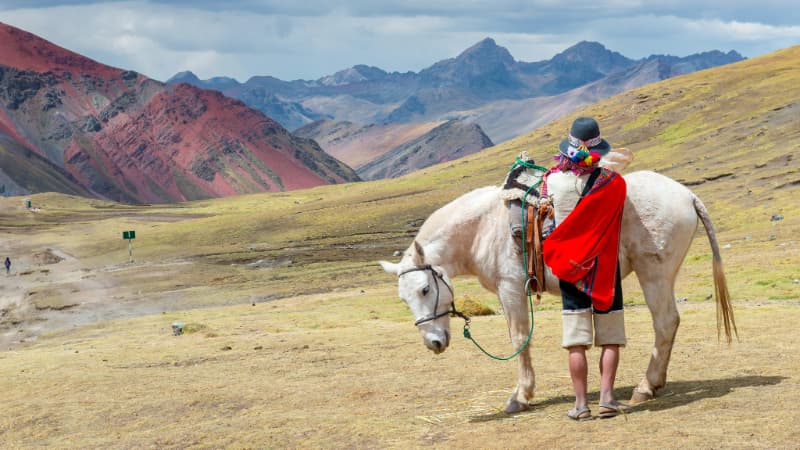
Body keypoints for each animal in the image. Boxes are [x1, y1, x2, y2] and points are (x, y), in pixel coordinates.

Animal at [382, 171, 736, 414]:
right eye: (404, 299)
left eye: (425, 289)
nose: (434, 343)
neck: (484, 228)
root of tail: (687, 195)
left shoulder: (511, 288)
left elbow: (519, 338)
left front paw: (520, 397)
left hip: (655, 275)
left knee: (665, 322)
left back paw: (646, 387)